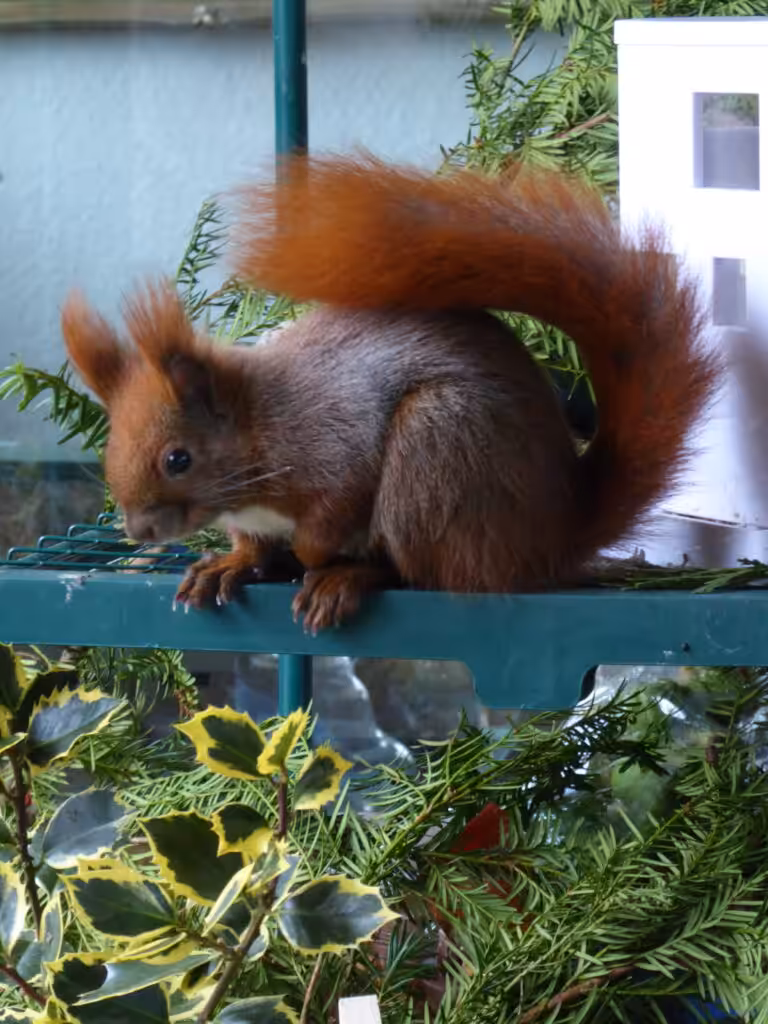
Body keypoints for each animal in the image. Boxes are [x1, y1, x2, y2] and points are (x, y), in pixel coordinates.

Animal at [61, 155, 719, 634]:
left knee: (429, 575)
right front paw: (233, 563)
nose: (139, 530)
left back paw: (349, 578)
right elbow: (252, 544)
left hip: (437, 449)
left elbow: (333, 511)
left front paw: (312, 557)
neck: (257, 423)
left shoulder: (333, 443)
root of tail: (554, 535)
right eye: (111, 447)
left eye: (178, 459)